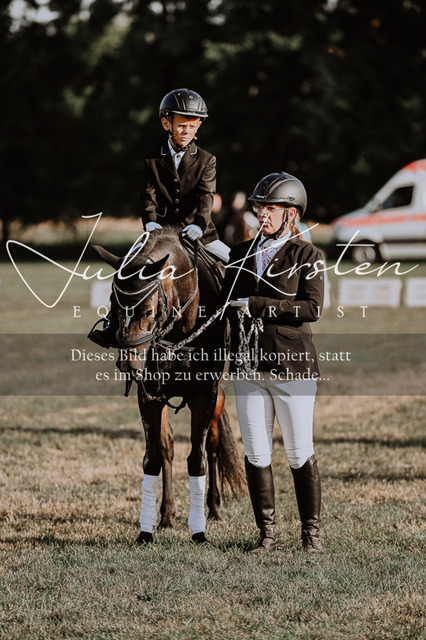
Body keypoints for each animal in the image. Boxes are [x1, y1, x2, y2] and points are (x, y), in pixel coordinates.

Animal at [92, 227, 246, 544]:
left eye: (148, 311)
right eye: (113, 305)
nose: (129, 365)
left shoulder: (205, 396)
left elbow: (198, 458)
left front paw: (199, 531)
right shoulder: (150, 397)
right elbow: (154, 456)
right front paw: (146, 531)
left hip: (218, 398)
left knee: (212, 446)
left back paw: (214, 508)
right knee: (169, 447)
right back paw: (166, 515)